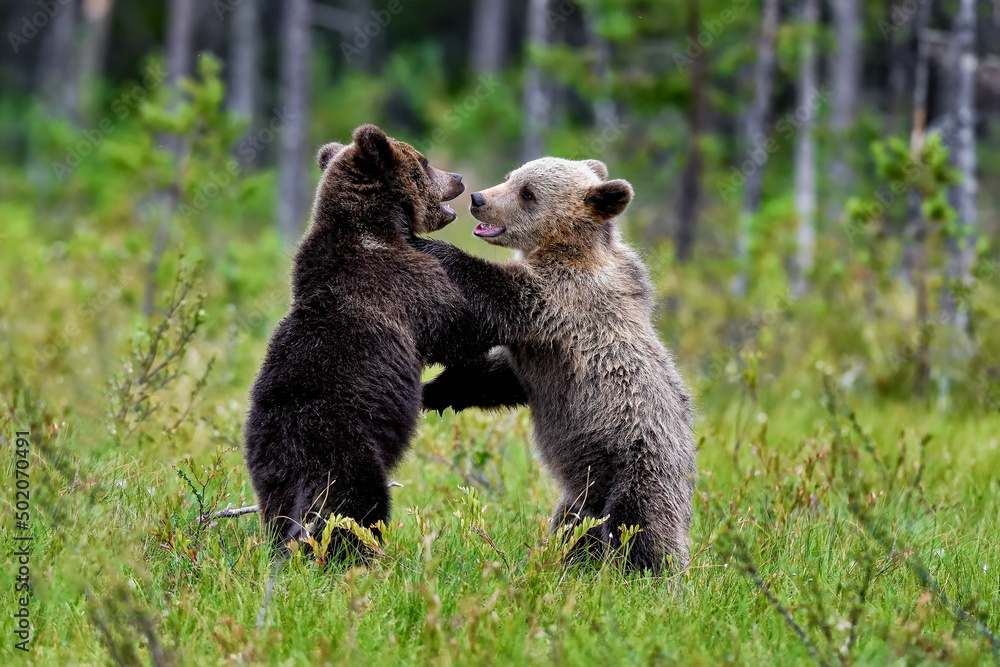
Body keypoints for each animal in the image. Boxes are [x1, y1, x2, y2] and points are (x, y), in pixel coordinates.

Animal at [244, 124, 487, 557]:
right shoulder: (404, 283)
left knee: (279, 513)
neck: (379, 228)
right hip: (344, 451)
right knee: (355, 507)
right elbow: (457, 328)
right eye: (424, 160)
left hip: (269, 468)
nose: (458, 177)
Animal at [412, 157, 697, 573]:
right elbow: (498, 378)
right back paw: (572, 563)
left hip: (639, 471)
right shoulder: (540, 353)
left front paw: (432, 248)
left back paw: (643, 574)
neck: (562, 249)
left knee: (638, 529)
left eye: (528, 193)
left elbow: (492, 298)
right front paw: (433, 392)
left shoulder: (559, 300)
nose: (479, 199)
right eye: (512, 176)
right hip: (582, 493)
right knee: (572, 525)